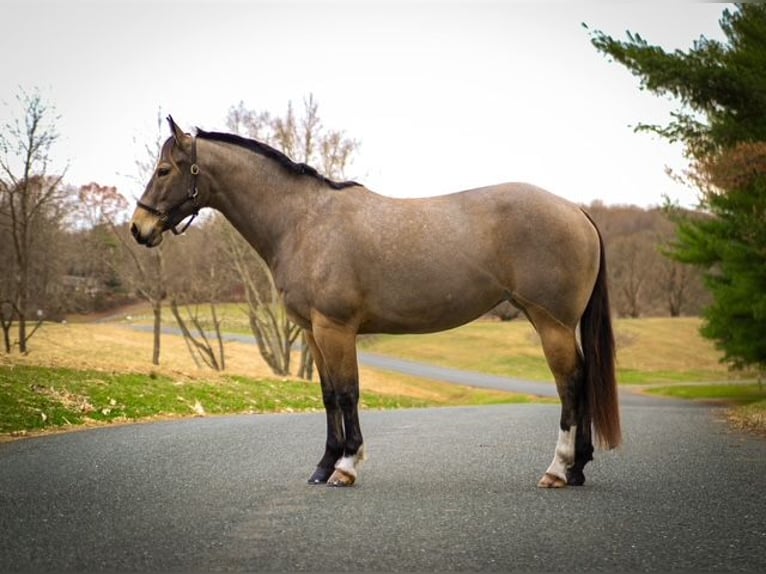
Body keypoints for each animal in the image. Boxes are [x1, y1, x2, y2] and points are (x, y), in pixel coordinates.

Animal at [134, 117, 624, 490]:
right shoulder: (313, 332)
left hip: (551, 323)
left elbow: (348, 393)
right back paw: (577, 468)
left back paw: (558, 470)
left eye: (164, 170)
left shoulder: (335, 328)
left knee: (570, 385)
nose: (139, 228)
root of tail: (576, 211)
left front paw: (346, 467)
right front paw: (323, 466)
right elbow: (329, 395)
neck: (303, 221)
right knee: (581, 381)